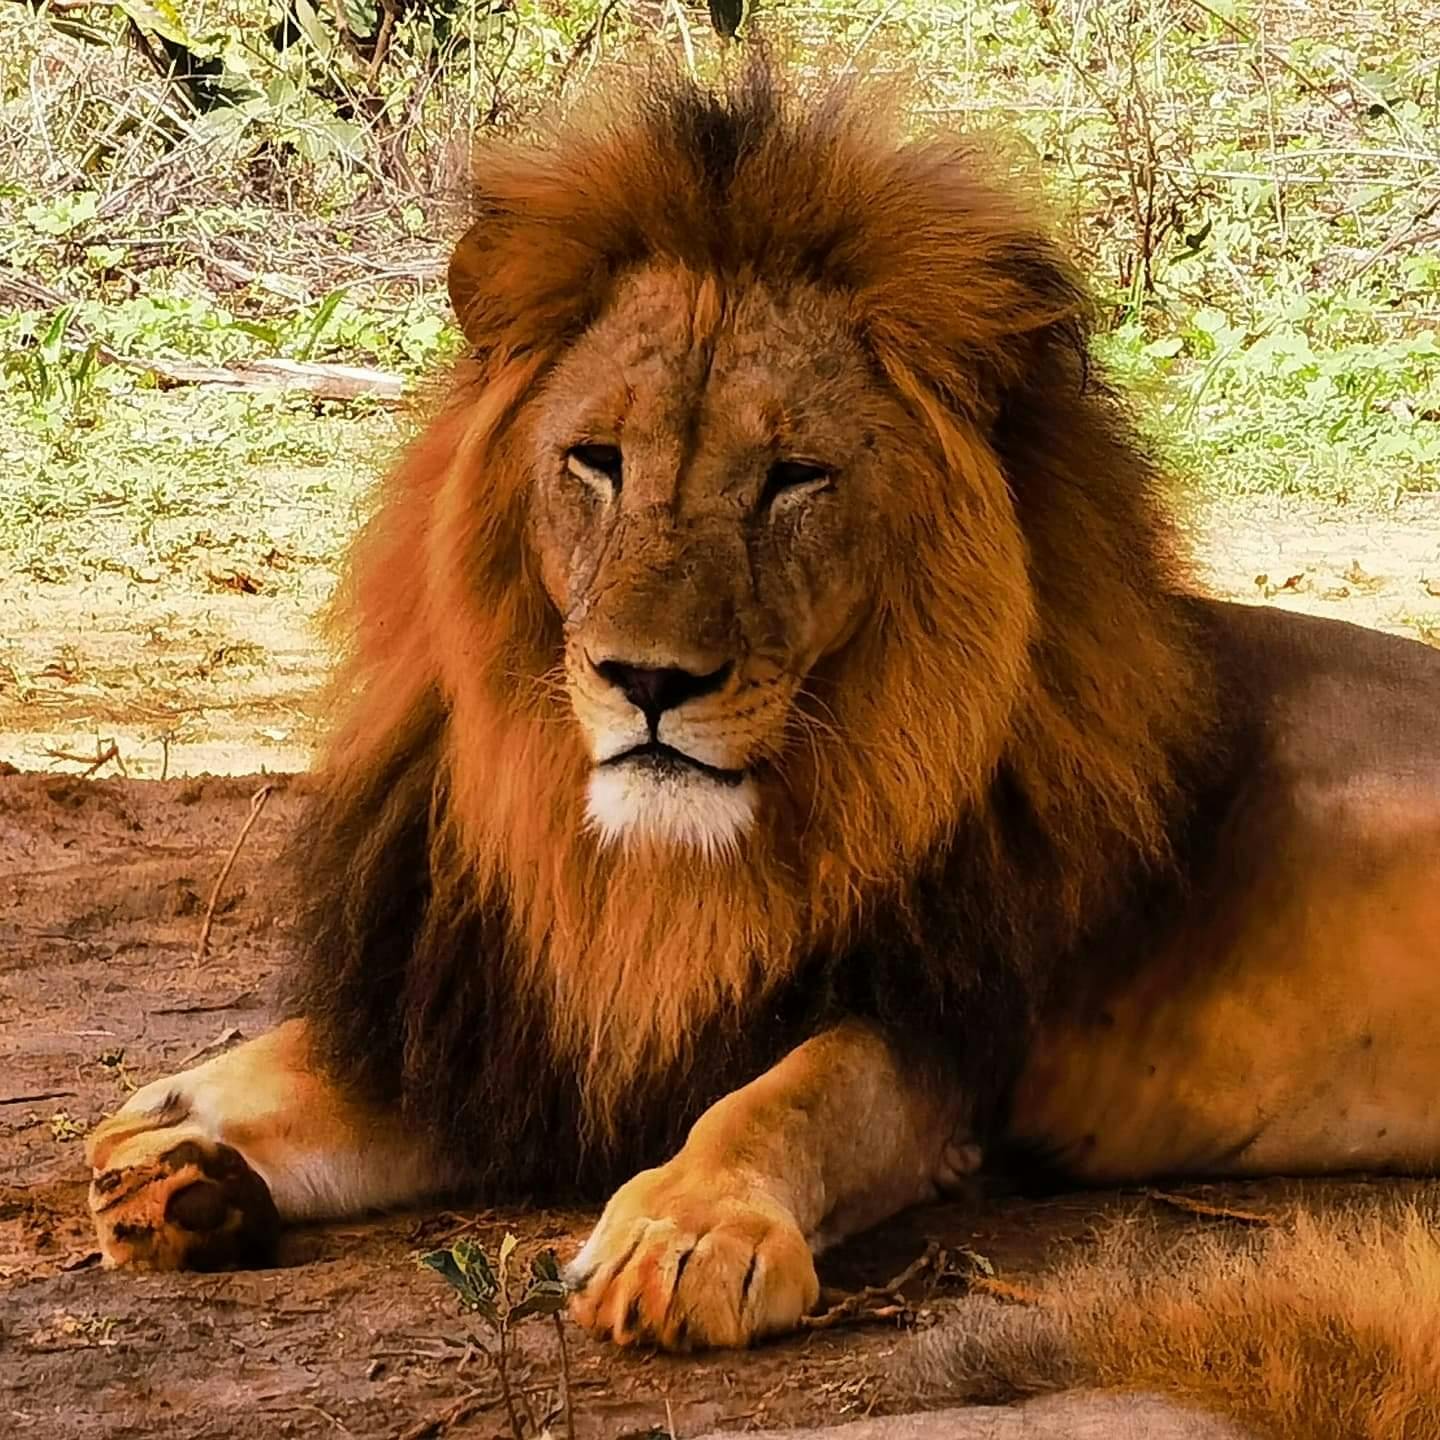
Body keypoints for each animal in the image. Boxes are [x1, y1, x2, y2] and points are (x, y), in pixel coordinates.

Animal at [84, 53, 1434, 1382]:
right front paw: (169, 1150)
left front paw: (690, 1234)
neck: (656, 876)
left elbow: (787, 1097)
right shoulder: (526, 1037)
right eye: (598, 460)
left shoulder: (932, 1040)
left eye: (793, 479)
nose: (649, 682)